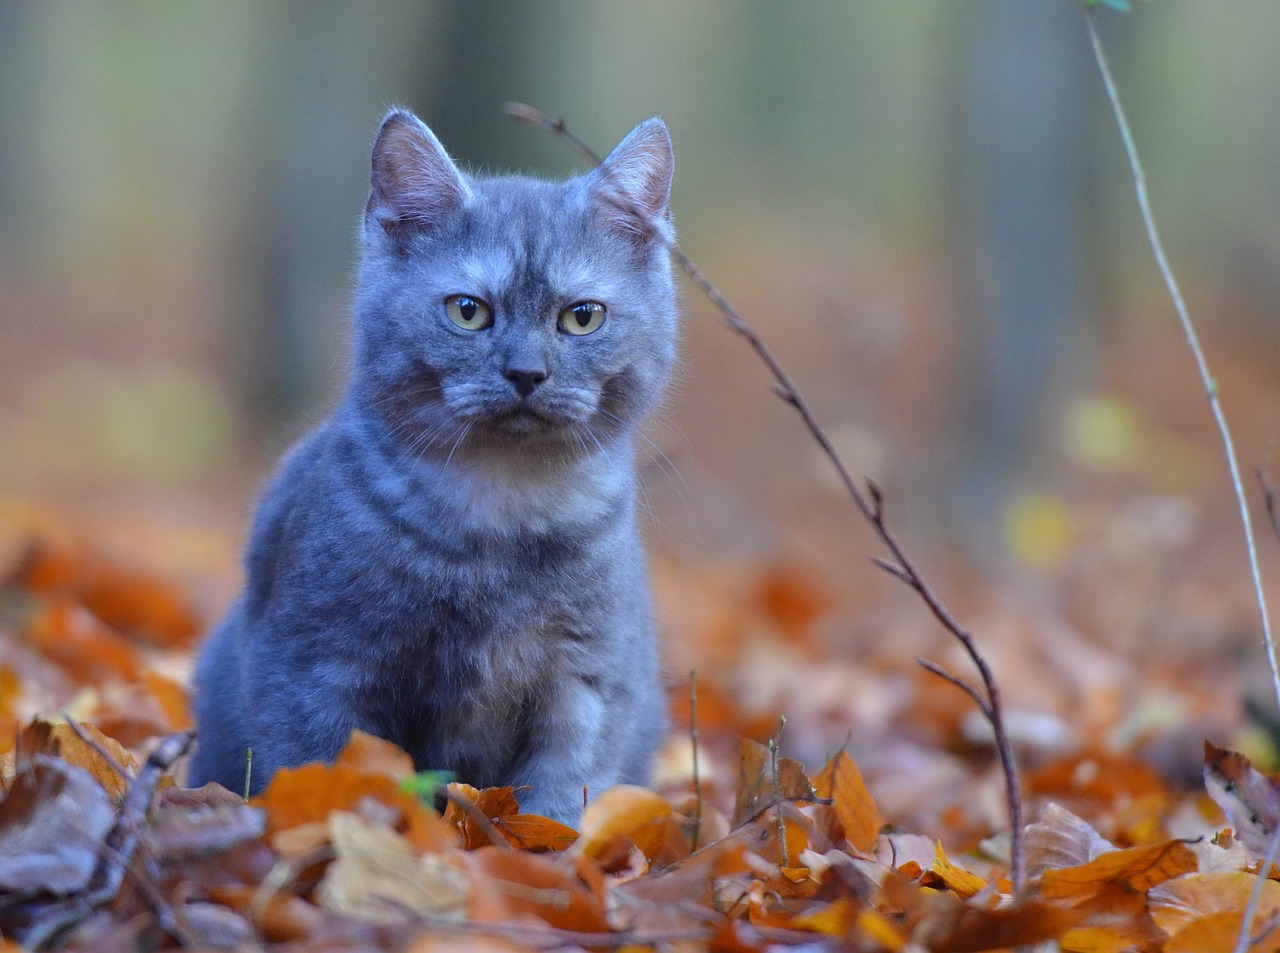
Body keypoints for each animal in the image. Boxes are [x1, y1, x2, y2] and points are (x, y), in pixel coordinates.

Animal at [186, 102, 680, 818]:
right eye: (467, 311)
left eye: (582, 317)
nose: (526, 372)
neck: (501, 510)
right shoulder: (315, 662)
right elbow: (326, 772)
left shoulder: (589, 677)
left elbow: (562, 794)